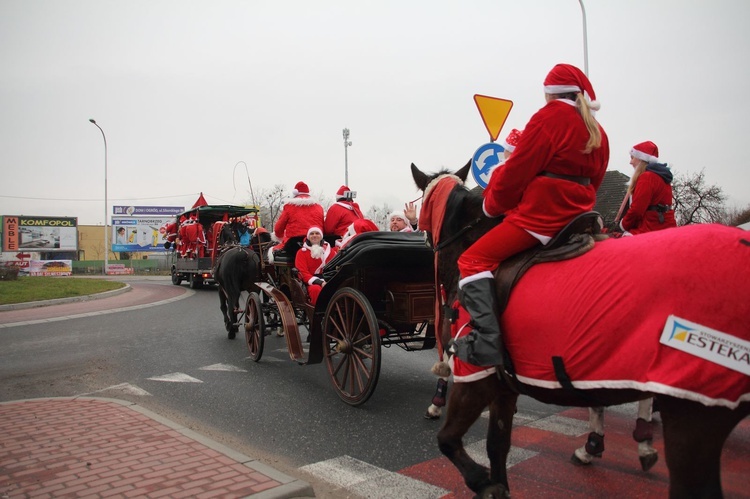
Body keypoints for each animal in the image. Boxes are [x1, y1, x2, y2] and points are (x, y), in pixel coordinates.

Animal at [412, 162, 750, 498]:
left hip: (691, 418)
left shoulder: (476, 378)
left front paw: (483, 481)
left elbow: (449, 440)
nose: (419, 234)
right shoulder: (505, 387)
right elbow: (497, 447)